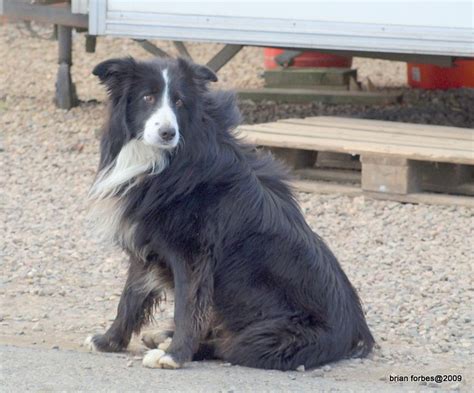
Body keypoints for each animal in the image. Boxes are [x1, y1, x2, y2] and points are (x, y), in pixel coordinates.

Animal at [86, 56, 374, 370]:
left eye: (179, 102)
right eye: (147, 97)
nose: (168, 133)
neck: (165, 159)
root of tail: (357, 332)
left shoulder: (192, 250)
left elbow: (187, 305)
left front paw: (174, 356)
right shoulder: (146, 243)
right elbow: (130, 296)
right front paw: (107, 341)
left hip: (275, 337)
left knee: (230, 346)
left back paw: (169, 344)